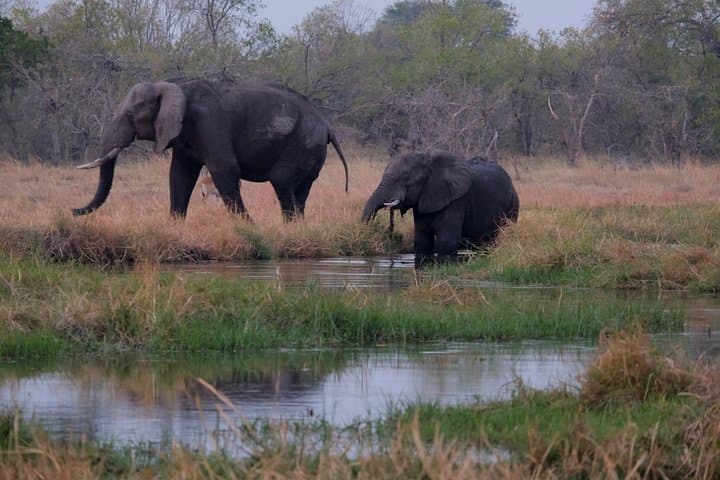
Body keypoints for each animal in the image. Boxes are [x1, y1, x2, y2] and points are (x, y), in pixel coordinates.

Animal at [73, 78, 349, 220]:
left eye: (131, 115)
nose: (73, 211)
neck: (176, 87)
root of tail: (327, 125)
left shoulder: (209, 126)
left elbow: (225, 169)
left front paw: (247, 227)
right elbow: (180, 176)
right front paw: (175, 226)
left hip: (302, 141)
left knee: (281, 180)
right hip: (310, 148)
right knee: (301, 190)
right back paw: (297, 227)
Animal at [362, 151, 519, 267]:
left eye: (405, 178)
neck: (429, 162)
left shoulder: (457, 199)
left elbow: (446, 241)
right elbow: (422, 241)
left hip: (513, 205)